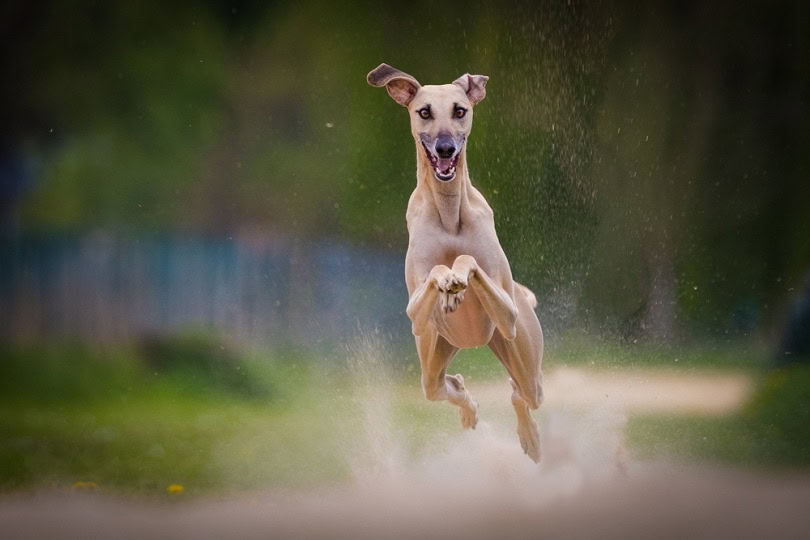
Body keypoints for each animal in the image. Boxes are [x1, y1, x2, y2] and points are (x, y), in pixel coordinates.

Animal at [366, 62, 544, 460]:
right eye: (424, 112)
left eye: (460, 110)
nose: (445, 147)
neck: (449, 213)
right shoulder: (415, 313)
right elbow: (434, 270)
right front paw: (448, 283)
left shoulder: (508, 312)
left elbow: (467, 258)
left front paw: (458, 278)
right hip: (435, 351)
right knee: (441, 386)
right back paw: (469, 407)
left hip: (517, 348)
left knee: (523, 391)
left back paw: (529, 436)